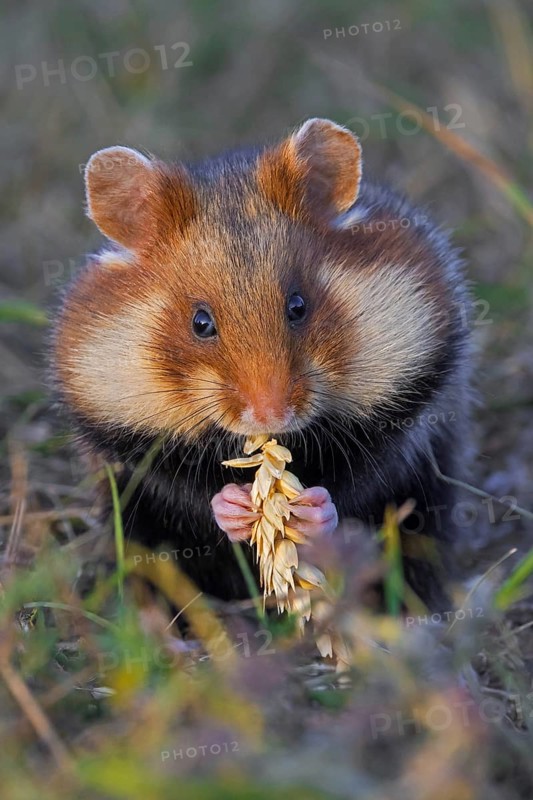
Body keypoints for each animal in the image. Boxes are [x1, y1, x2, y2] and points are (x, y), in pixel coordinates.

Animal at [52, 118, 471, 610]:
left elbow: (355, 480)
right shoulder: (126, 444)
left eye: (298, 306)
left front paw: (307, 510)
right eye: (200, 322)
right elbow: (192, 495)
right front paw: (237, 508)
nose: (271, 416)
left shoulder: (409, 405)